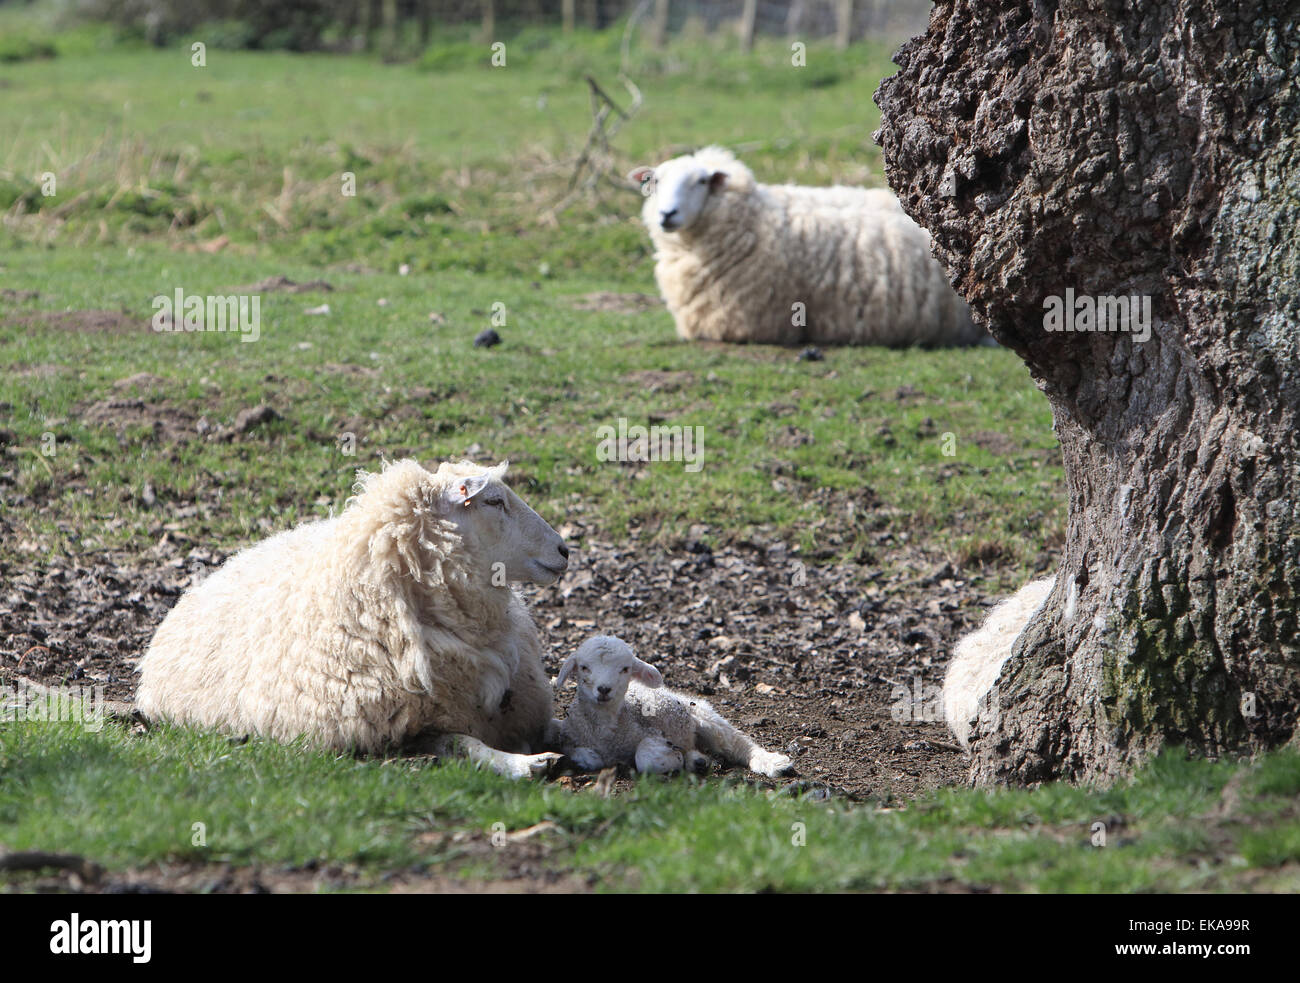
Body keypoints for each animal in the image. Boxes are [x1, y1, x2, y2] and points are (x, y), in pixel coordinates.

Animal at [546, 637, 795, 774]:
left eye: (625, 669)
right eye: (584, 667)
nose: (604, 689)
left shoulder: (652, 733)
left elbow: (645, 756)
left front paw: (670, 759)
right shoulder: (569, 735)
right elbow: (577, 752)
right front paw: (588, 756)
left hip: (703, 716)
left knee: (736, 742)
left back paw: (772, 762)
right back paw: (696, 761)